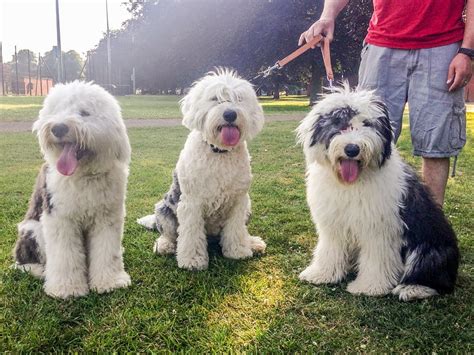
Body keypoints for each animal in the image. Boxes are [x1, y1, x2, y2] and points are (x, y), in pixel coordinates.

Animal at [13, 81, 131, 300]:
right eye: (56, 111)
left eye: (84, 113)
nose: (58, 127)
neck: (83, 175)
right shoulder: (60, 219)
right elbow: (65, 255)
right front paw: (67, 288)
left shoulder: (107, 217)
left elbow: (107, 250)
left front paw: (110, 282)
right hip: (33, 229)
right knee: (23, 261)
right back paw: (40, 271)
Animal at [139, 69, 268, 270]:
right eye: (215, 98)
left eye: (238, 98)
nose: (230, 114)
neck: (219, 152)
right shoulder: (192, 203)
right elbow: (191, 234)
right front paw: (192, 260)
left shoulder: (239, 201)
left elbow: (236, 229)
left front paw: (238, 251)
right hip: (164, 209)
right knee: (168, 234)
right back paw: (165, 245)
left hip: (248, 208)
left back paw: (252, 242)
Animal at [296, 85, 460, 302]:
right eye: (339, 123)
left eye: (367, 124)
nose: (352, 149)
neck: (351, 184)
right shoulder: (333, 224)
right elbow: (330, 249)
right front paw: (322, 274)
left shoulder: (378, 228)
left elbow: (376, 259)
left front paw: (369, 286)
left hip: (429, 248)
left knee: (435, 277)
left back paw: (414, 289)